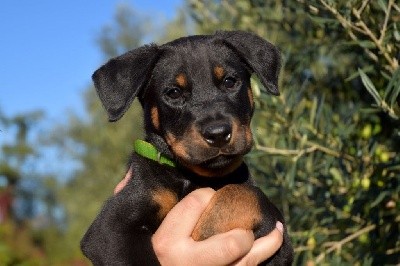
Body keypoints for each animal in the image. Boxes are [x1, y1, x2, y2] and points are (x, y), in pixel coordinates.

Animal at [81, 30, 294, 264]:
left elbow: (249, 193)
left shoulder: (280, 241)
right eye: (173, 93)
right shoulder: (111, 228)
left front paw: (208, 226)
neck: (195, 176)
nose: (218, 134)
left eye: (229, 81)